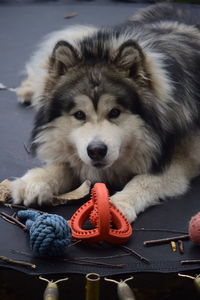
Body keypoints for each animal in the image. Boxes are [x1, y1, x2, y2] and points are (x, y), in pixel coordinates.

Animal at [10, 2, 200, 223]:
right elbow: (64, 164)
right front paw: (35, 181)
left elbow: (142, 180)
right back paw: (29, 89)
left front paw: (118, 204)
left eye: (115, 112)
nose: (96, 151)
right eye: (79, 115)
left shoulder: (181, 160)